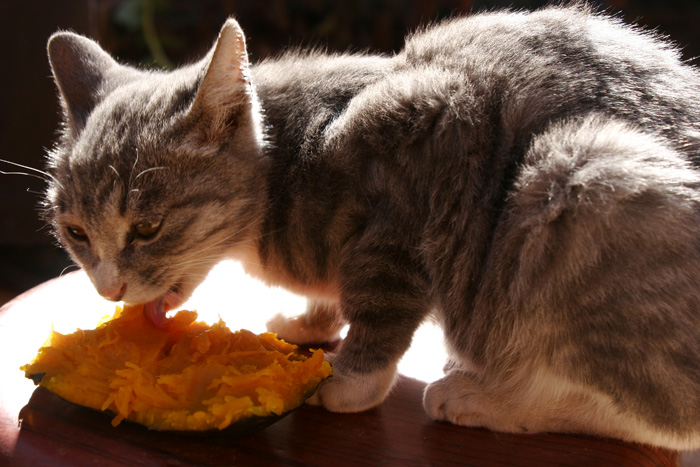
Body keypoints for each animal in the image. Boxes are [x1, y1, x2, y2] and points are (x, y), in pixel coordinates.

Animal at [42, 2, 700, 450]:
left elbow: (381, 305)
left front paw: (350, 379)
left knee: (665, 420)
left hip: (577, 180)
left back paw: (490, 396)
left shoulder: (415, 176)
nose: (109, 288)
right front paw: (309, 322)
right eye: (76, 233)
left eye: (148, 227)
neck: (290, 165)